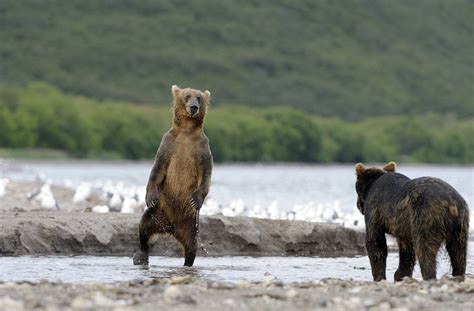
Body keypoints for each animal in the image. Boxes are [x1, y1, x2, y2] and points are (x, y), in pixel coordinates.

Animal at [132, 85, 212, 268]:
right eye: (187, 96)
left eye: (199, 98)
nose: (193, 107)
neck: (187, 131)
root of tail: (171, 228)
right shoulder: (169, 144)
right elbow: (158, 169)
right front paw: (150, 196)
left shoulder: (202, 148)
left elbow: (206, 173)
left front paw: (196, 199)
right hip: (158, 213)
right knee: (143, 227)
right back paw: (141, 255)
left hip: (190, 224)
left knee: (191, 246)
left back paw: (187, 263)